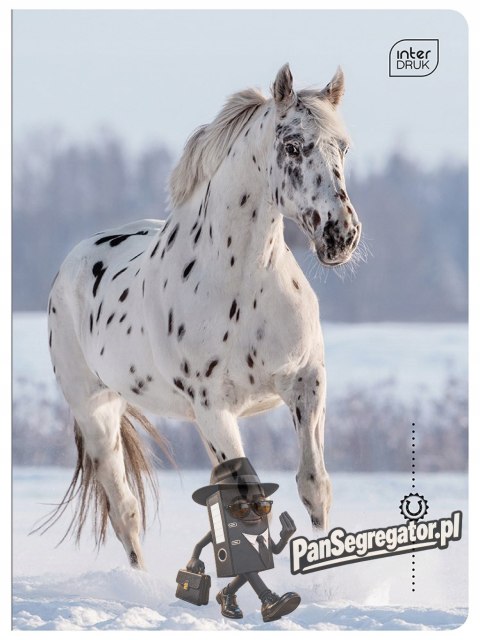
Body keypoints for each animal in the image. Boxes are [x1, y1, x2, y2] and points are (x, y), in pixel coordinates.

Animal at [41, 64, 362, 570]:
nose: (340, 234)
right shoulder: (214, 407)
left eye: (343, 147)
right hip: (97, 412)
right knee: (125, 510)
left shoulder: (307, 382)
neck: (242, 285)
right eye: (292, 146)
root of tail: (72, 261)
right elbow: (250, 500)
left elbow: (314, 484)